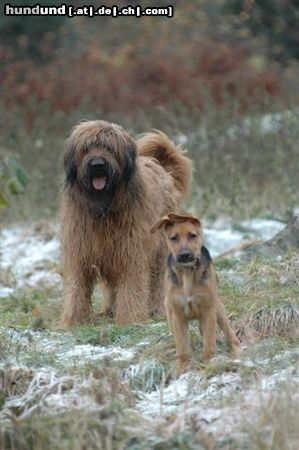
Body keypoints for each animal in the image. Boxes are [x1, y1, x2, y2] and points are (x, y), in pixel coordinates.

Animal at [59, 121, 193, 326]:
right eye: (87, 148)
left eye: (109, 147)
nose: (97, 165)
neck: (103, 208)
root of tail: (161, 168)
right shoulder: (80, 251)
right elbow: (77, 286)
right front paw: (73, 321)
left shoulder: (131, 250)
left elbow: (131, 285)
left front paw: (130, 318)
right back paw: (110, 309)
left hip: (159, 249)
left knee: (158, 279)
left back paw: (158, 309)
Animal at [152, 211, 241, 372]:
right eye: (173, 238)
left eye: (192, 235)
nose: (184, 255)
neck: (187, 272)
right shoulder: (178, 315)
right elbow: (182, 345)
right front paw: (182, 367)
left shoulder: (208, 310)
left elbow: (209, 341)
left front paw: (209, 362)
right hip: (169, 312)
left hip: (218, 309)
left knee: (228, 333)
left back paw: (236, 352)